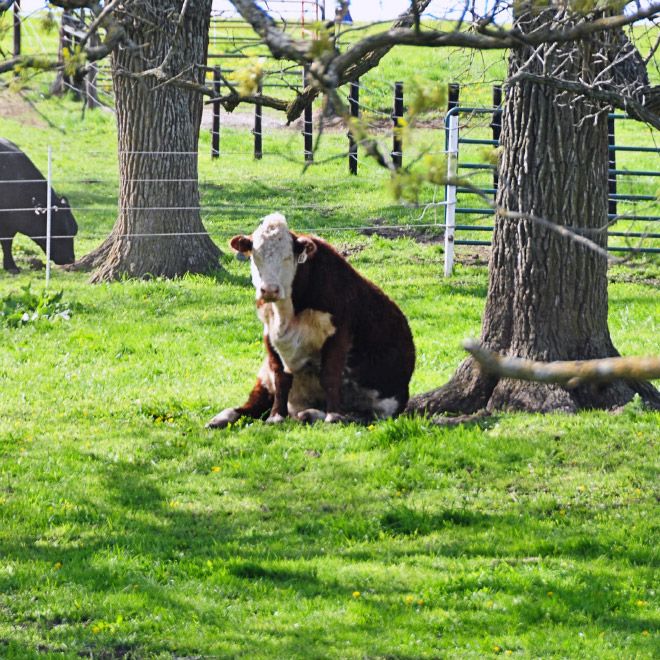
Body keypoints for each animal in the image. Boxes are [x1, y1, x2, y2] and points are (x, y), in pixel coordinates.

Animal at [206, 213, 416, 428]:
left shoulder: (338, 332)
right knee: (252, 405)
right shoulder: (269, 335)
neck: (287, 314)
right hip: (264, 378)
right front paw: (276, 417)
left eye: (287, 257)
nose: (269, 290)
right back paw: (222, 417)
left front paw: (333, 416)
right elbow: (281, 376)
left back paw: (314, 414)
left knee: (360, 415)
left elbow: (330, 375)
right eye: (256, 257)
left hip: (384, 406)